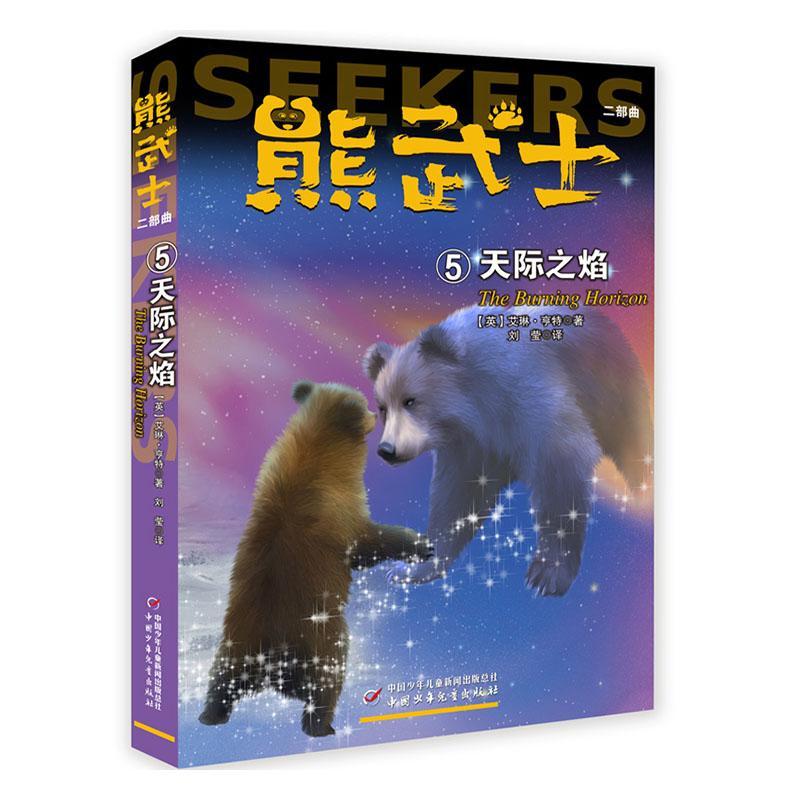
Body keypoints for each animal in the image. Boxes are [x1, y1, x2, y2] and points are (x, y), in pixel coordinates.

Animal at [198, 380, 433, 736]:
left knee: (222, 680)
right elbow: (369, 541)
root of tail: (272, 661)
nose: (374, 416)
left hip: (235, 642)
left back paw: (211, 715)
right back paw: (321, 725)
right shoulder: (341, 513)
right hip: (322, 640)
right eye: (367, 406)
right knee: (325, 683)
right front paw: (420, 543)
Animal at [363, 304, 651, 597]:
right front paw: (412, 567)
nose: (387, 449)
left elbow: (561, 469)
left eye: (411, 400)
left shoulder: (528, 401)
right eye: (382, 407)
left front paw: (547, 573)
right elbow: (456, 499)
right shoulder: (472, 447)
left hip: (613, 390)